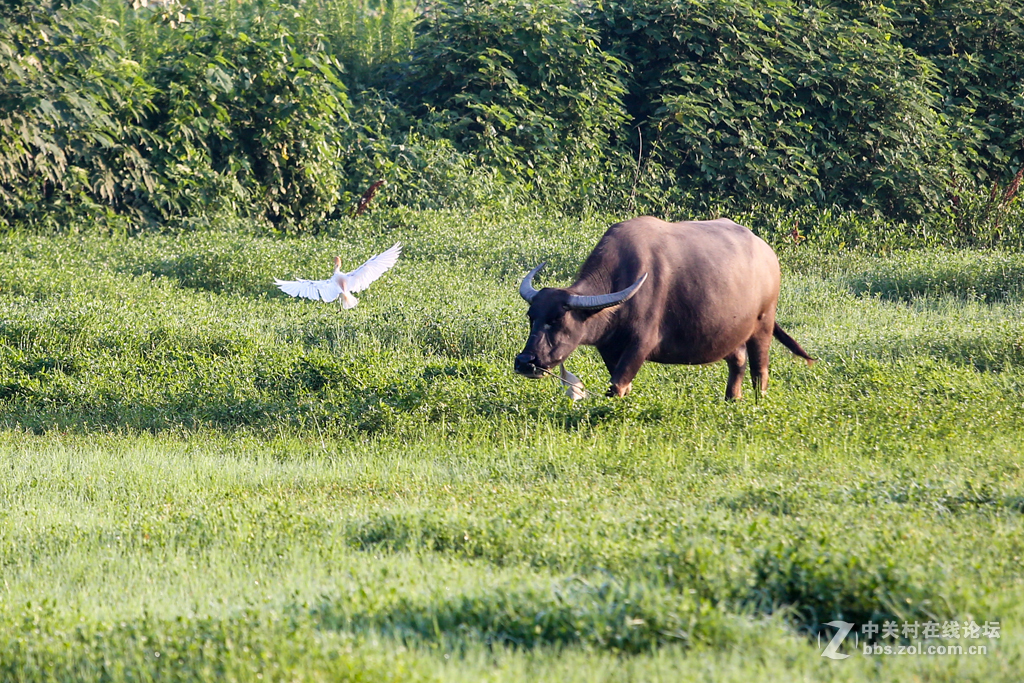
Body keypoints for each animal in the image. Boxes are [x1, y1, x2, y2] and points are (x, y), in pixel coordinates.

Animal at [516, 218, 811, 401]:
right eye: (531, 317)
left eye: (558, 319)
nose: (525, 362)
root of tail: (768, 254)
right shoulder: (609, 347)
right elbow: (621, 384)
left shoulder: (641, 343)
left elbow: (617, 385)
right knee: (737, 361)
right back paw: (731, 400)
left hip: (763, 324)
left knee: (759, 371)